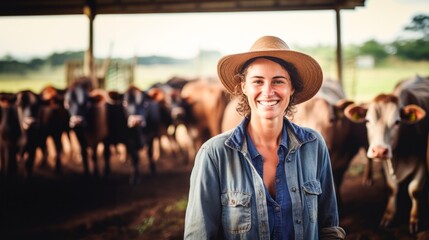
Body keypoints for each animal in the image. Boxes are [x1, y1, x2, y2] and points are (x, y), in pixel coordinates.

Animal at [344, 74, 428, 232]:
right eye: (367, 120)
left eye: (397, 122)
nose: (379, 150)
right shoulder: (386, 162)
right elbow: (391, 188)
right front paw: (388, 216)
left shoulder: (422, 163)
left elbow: (414, 191)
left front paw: (414, 219)